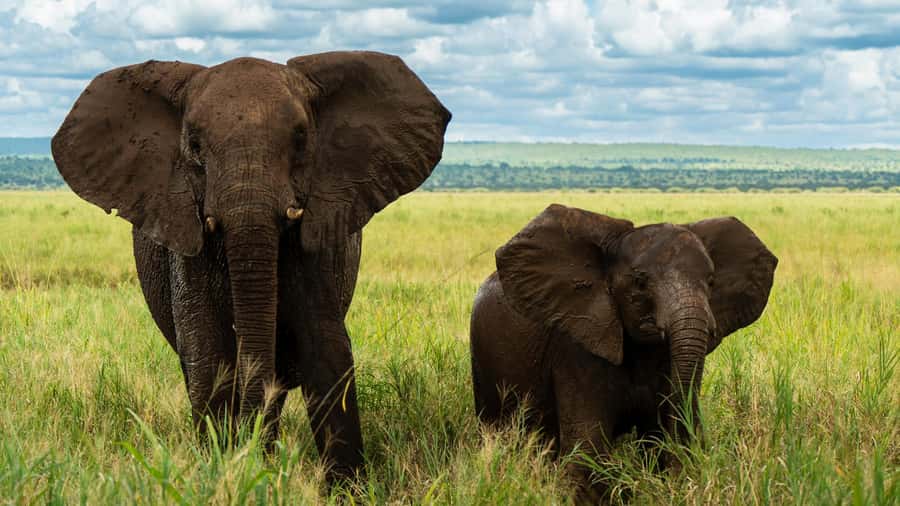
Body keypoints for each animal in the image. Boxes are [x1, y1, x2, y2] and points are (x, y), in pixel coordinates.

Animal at [51, 52, 451, 479]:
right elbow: (209, 358)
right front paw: (223, 471)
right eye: (194, 146)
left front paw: (344, 487)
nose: (248, 456)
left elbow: (327, 353)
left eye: (301, 139)